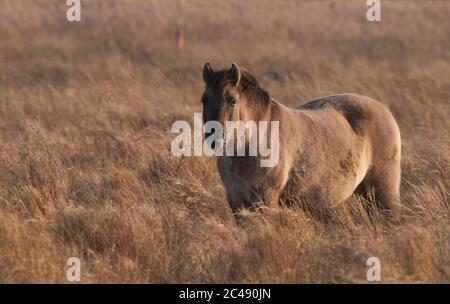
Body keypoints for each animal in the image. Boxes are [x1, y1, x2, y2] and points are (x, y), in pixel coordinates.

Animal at [200, 63, 400, 216]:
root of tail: (384, 110)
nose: (214, 138)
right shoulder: (236, 200)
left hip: (384, 195)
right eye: (204, 100)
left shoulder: (265, 199)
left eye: (232, 101)